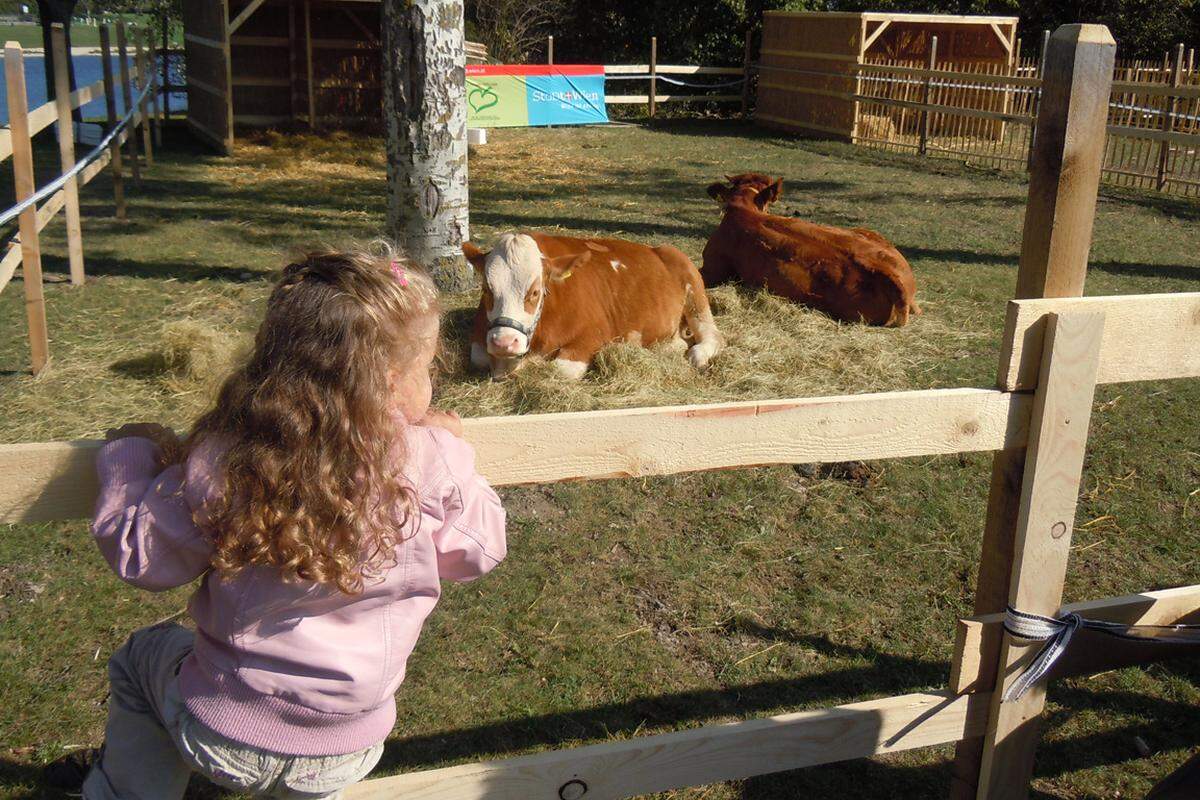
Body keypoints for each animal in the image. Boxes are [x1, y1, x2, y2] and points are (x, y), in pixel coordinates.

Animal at [458, 231, 720, 381]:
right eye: (486, 289)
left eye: (534, 292)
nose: (503, 342)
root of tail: (656, 248)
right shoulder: (480, 340)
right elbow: (479, 358)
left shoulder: (594, 334)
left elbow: (560, 370)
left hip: (694, 289)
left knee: (713, 334)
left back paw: (698, 353)